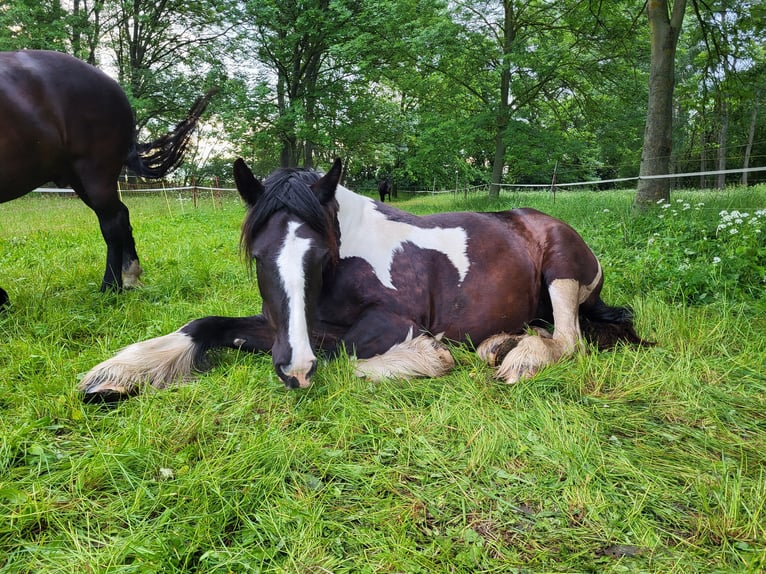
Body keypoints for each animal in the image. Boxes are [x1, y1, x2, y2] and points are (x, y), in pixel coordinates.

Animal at [0, 50, 214, 306]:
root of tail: (113, 86)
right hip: (80, 179)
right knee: (122, 215)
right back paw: (130, 276)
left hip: (96, 174)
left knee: (113, 223)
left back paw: (111, 287)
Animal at [78, 158, 650, 401]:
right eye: (260, 257)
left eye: (319, 256)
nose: (295, 371)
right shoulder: (282, 325)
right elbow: (204, 325)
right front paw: (120, 373)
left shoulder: (392, 321)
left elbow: (350, 353)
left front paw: (431, 358)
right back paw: (501, 345)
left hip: (561, 272)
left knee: (569, 339)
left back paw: (522, 357)